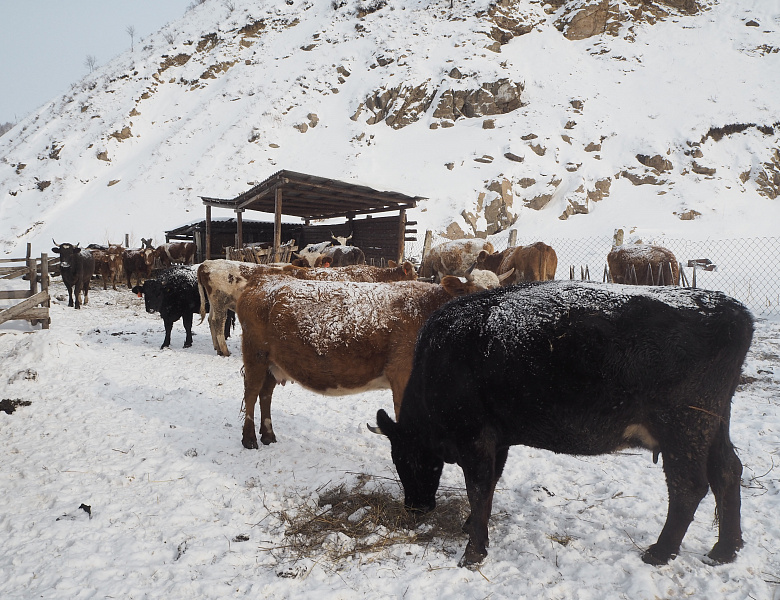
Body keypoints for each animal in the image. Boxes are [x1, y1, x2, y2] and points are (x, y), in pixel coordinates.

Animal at [235, 264, 508, 448]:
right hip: (255, 355)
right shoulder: (402, 377)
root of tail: (262, 278)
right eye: (473, 294)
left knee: (265, 394)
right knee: (251, 393)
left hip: (274, 363)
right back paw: (249, 438)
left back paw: (268, 435)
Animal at [372, 282, 756, 568]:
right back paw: (726, 549)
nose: (415, 508)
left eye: (406, 459)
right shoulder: (499, 439)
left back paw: (660, 552)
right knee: (727, 471)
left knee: (688, 486)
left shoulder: (475, 437)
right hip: (713, 423)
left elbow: (478, 488)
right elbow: (490, 484)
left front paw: (473, 552)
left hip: (684, 426)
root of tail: (731, 307)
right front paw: (471, 527)